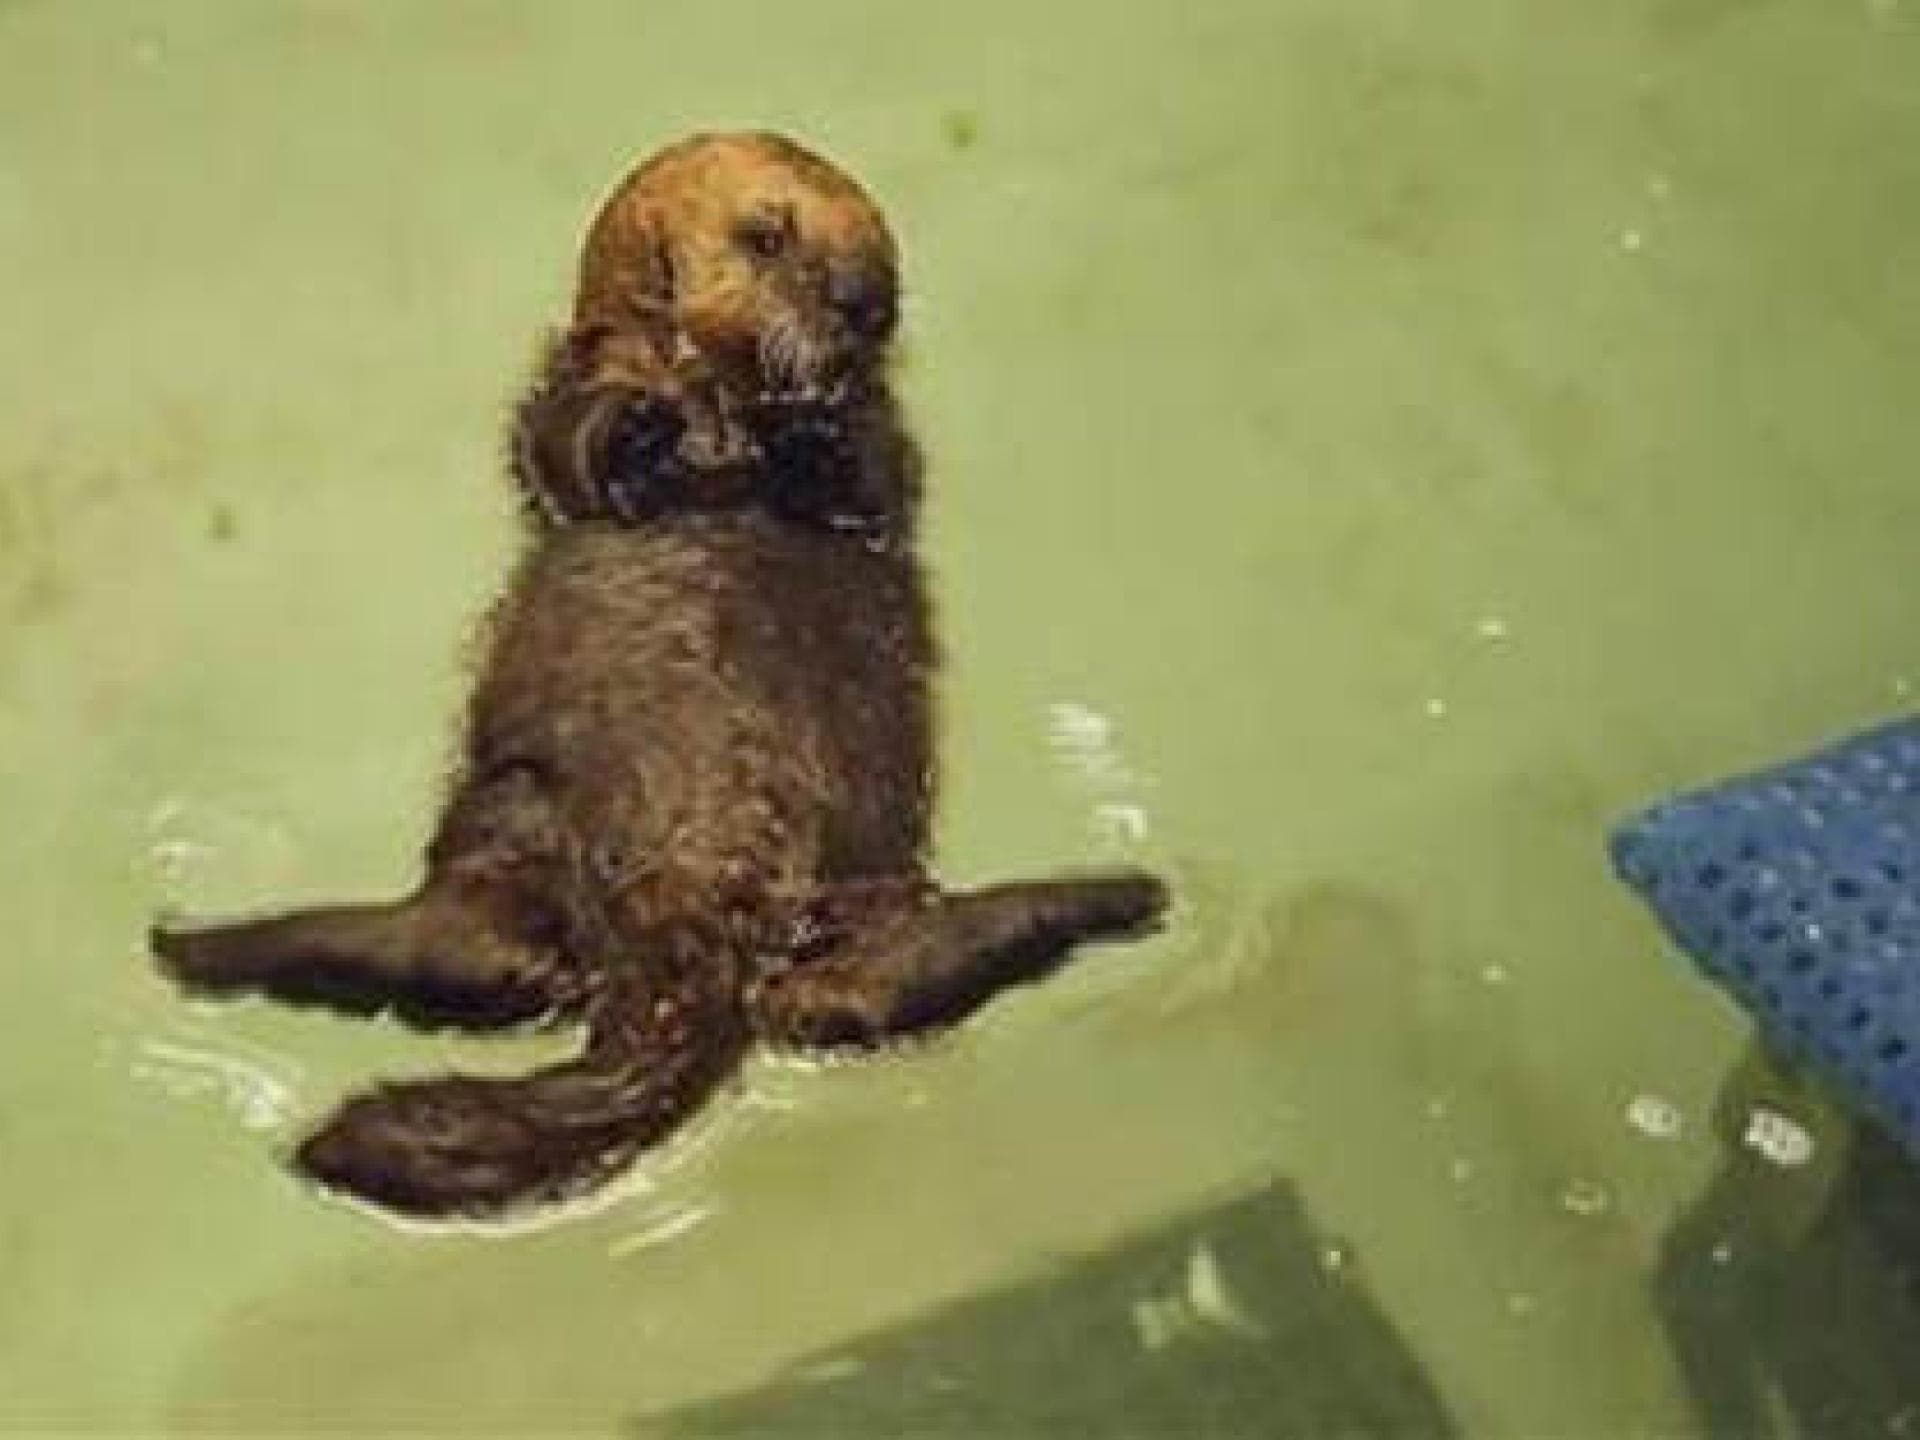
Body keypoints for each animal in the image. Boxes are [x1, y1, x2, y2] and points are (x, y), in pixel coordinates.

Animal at [150, 132, 1167, 1219]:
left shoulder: (884, 449)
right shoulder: (554, 394)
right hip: (522, 809)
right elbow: (561, 449)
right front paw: (639, 419)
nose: (866, 302)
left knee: (840, 991)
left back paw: (1109, 895)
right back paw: (211, 945)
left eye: (882, 253)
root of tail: (693, 923)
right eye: (768, 235)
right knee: (514, 960)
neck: (722, 428)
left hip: (846, 883)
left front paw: (808, 424)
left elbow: (871, 477)